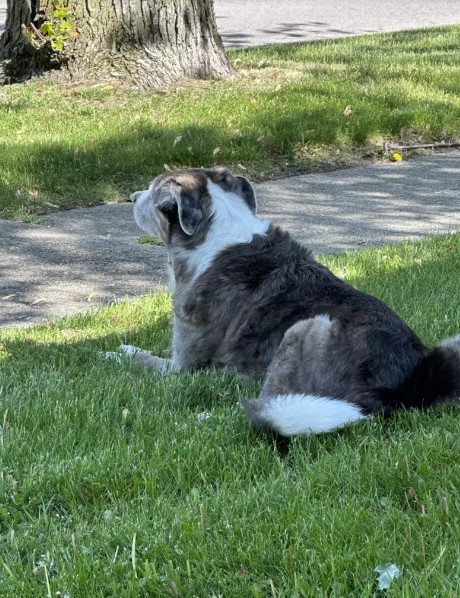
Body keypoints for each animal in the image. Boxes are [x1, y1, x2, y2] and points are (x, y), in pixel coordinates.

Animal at [123, 166, 460, 438]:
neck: (215, 231)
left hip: (303, 329)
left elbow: (140, 358)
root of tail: (407, 386)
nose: (131, 196)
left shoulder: (181, 367)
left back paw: (204, 418)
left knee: (265, 407)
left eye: (153, 193)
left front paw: (120, 351)